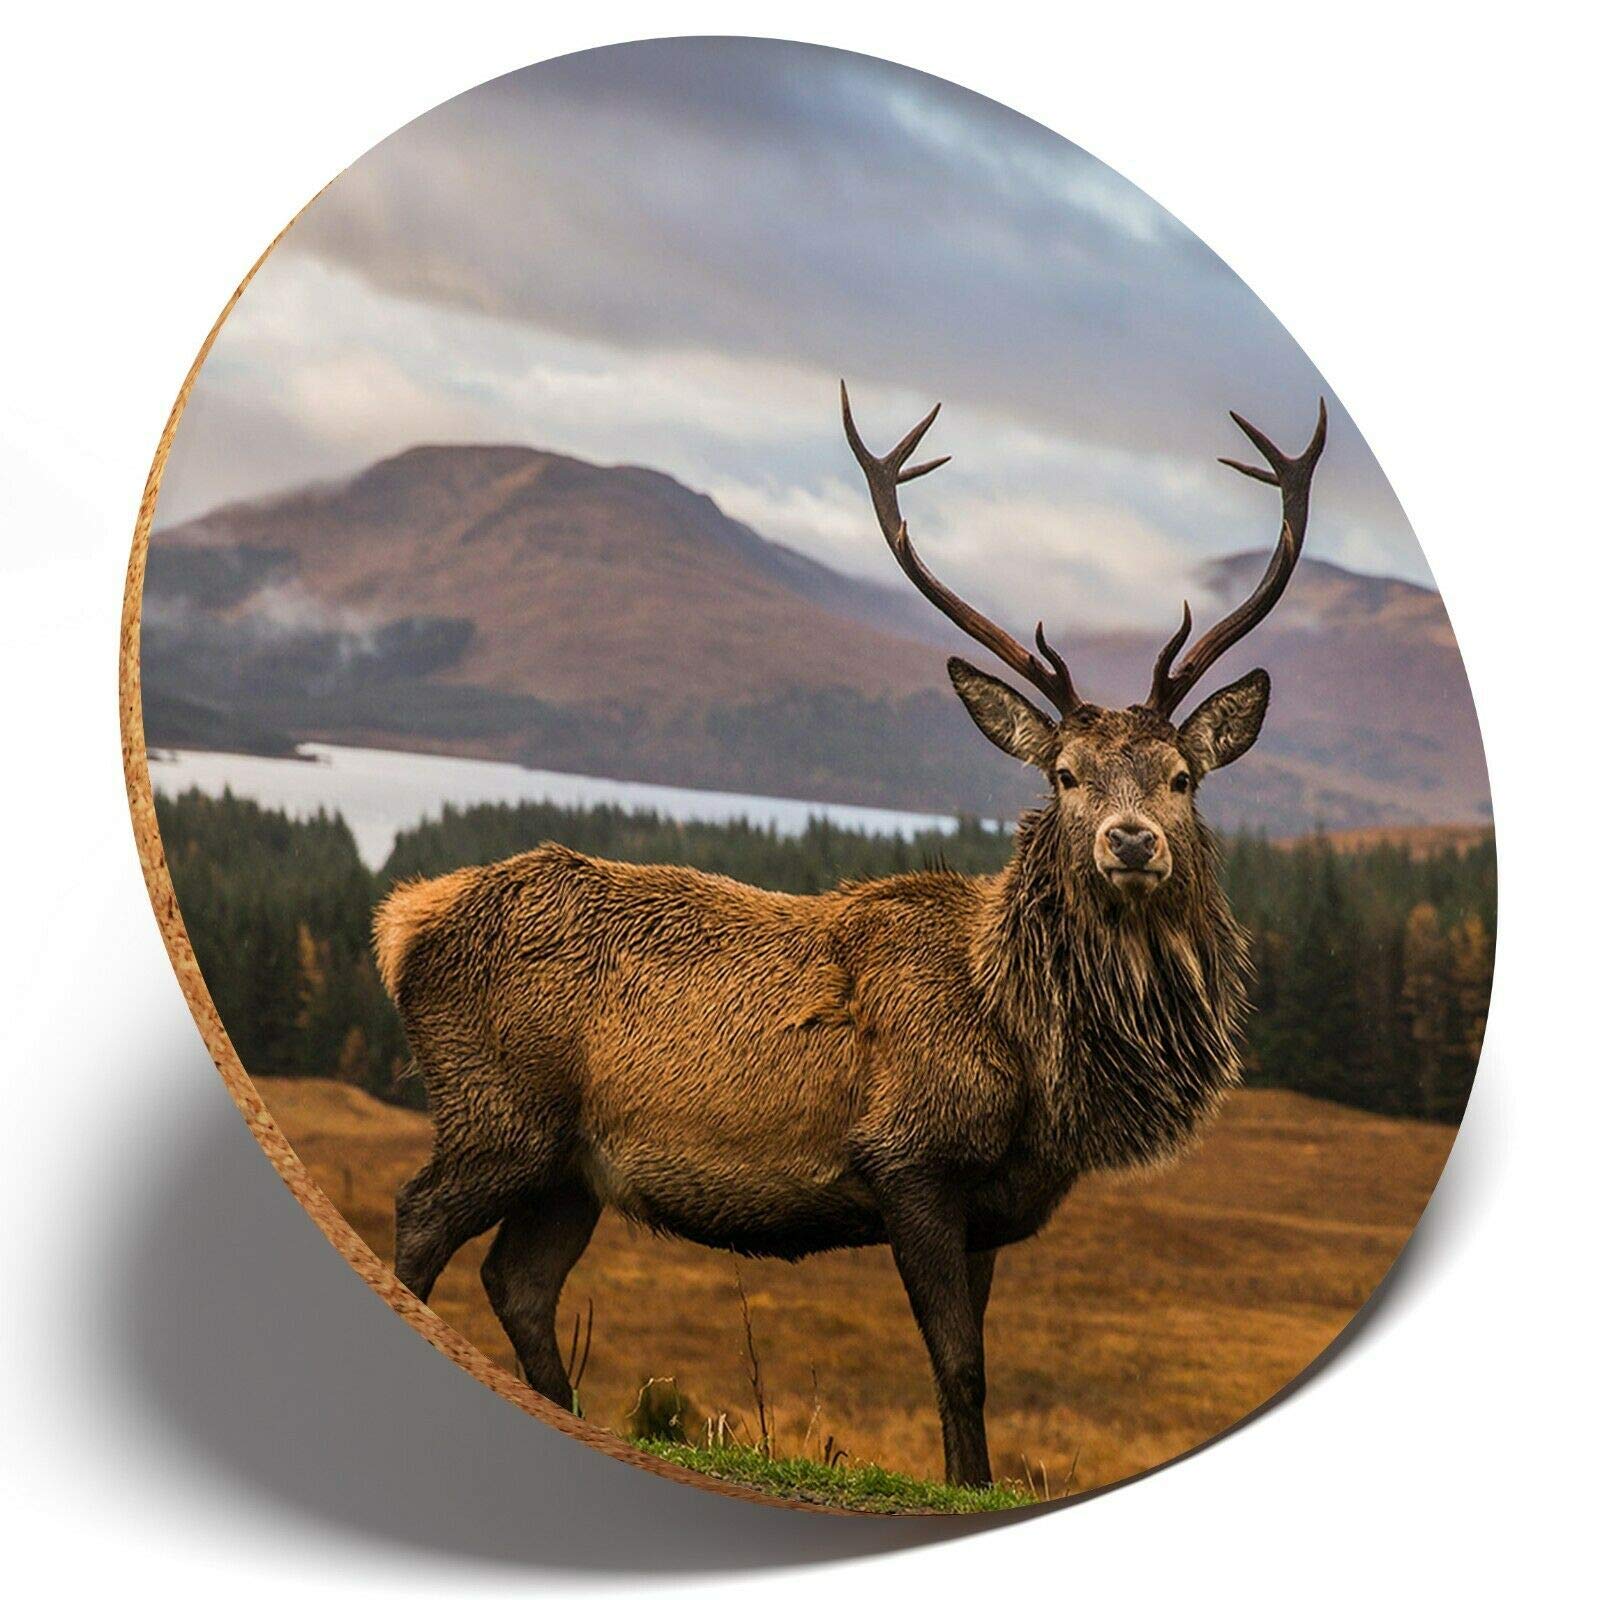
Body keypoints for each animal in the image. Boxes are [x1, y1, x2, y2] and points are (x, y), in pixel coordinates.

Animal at [373, 385, 1326, 1487]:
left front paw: (970, 1480)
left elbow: (971, 1368)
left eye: (1182, 777)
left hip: (572, 1166)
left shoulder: (988, 1205)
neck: (1032, 1057)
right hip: (498, 1110)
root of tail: (403, 922)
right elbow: (958, 1364)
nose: (1130, 841)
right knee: (417, 1224)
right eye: (1065, 775)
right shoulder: (907, 1158)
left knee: (519, 1280)